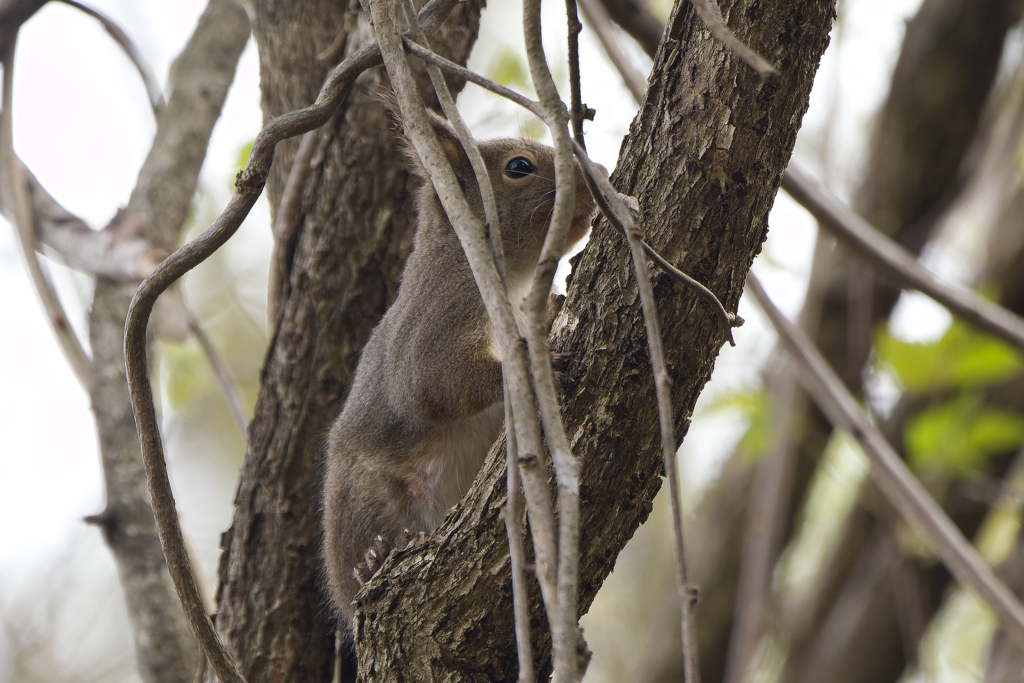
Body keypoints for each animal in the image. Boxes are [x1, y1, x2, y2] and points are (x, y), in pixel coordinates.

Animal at [321, 100, 598, 634]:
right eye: (519, 167)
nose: (596, 182)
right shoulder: (437, 319)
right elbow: (430, 383)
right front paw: (532, 366)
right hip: (364, 500)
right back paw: (370, 563)